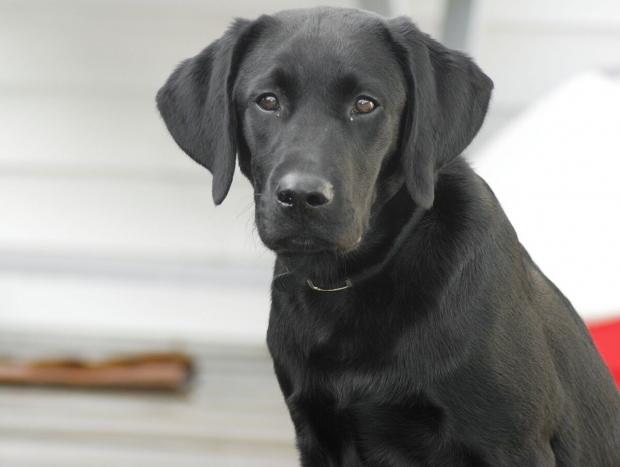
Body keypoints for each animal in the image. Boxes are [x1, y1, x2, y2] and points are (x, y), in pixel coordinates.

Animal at [157, 7, 616, 467]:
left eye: (365, 104)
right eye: (267, 100)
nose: (302, 196)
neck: (352, 283)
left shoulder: (511, 443)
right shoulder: (316, 430)